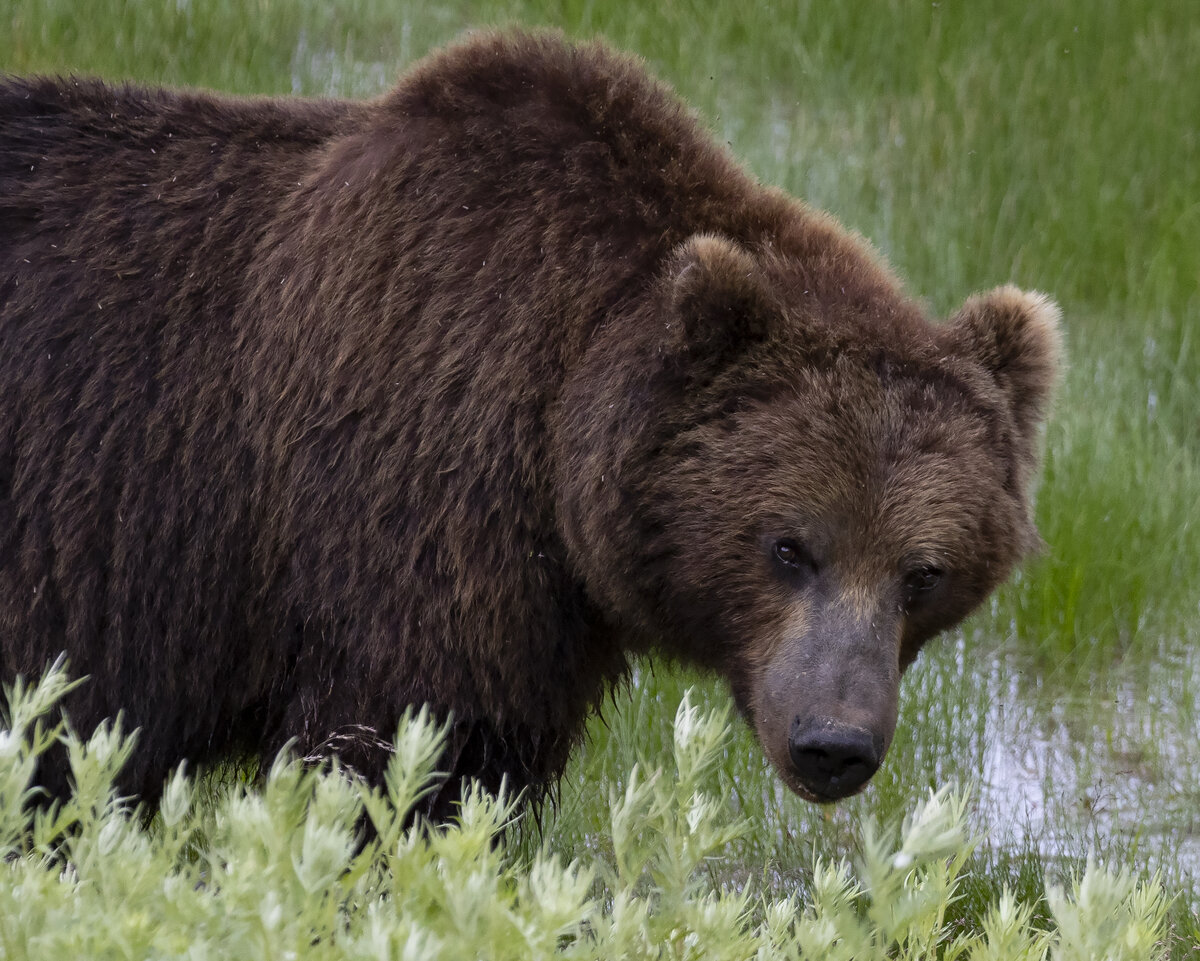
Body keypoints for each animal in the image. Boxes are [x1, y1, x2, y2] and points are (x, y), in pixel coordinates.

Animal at [0, 28, 1060, 811]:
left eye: (924, 572)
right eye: (789, 545)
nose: (834, 743)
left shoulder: (534, 624)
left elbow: (484, 766)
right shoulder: (402, 507)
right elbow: (388, 758)